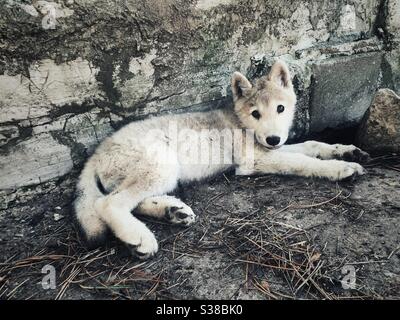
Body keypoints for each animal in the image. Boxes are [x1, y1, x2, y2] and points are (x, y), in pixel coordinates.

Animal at [75, 60, 368, 260]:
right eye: (255, 113)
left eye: (280, 108)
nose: (273, 138)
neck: (241, 123)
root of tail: (97, 152)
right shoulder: (254, 161)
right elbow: (304, 162)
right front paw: (340, 168)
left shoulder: (272, 149)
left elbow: (311, 145)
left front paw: (346, 151)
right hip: (160, 165)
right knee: (108, 204)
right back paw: (140, 237)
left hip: (160, 173)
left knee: (132, 201)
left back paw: (173, 211)